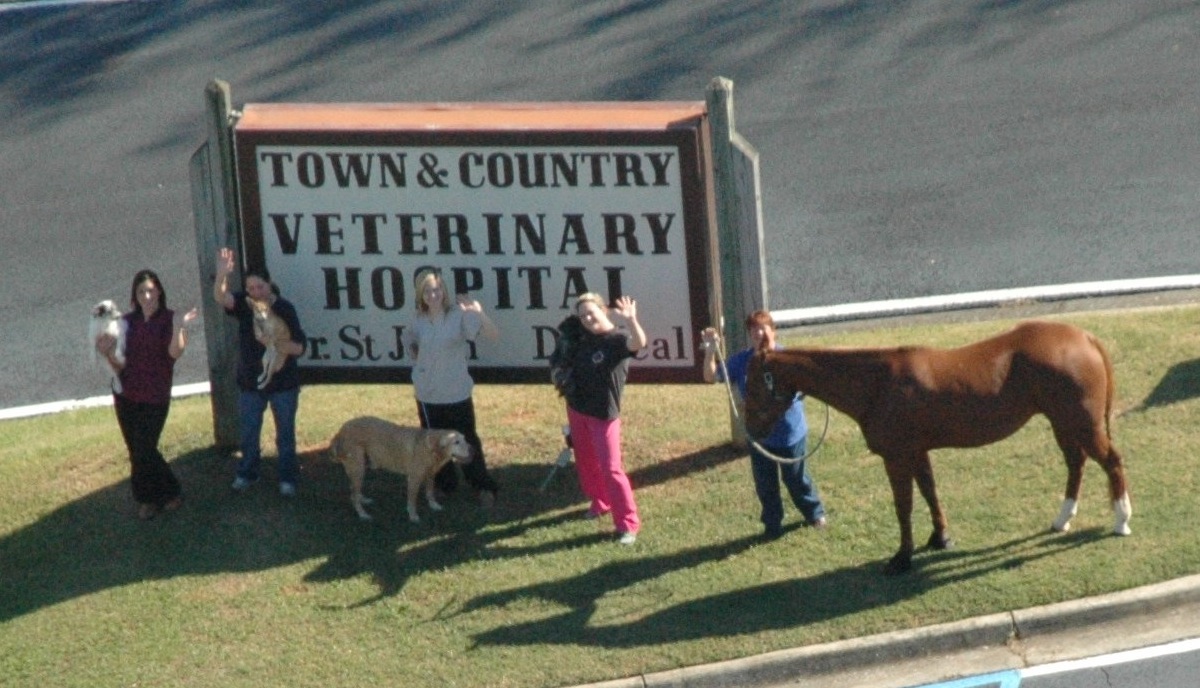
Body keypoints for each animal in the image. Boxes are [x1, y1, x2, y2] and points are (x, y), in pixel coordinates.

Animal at [333, 413, 477, 521]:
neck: (430, 447)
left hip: (358, 468)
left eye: (465, 439)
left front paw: (434, 505)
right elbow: (412, 501)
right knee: (353, 496)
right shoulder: (414, 478)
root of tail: (341, 430)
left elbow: (430, 492)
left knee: (354, 491)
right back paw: (363, 514)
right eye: (456, 442)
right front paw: (413, 516)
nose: (473, 450)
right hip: (358, 467)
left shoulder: (430, 474)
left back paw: (363, 499)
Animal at [744, 321, 1128, 573]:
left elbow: (904, 505)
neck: (877, 383)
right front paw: (940, 538)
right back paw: (1062, 520)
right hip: (1063, 423)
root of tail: (1085, 338)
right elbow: (930, 492)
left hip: (1082, 424)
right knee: (1076, 463)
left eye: (753, 384)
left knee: (1111, 461)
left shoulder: (897, 457)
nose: (750, 432)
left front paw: (902, 557)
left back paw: (1121, 521)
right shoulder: (917, 452)